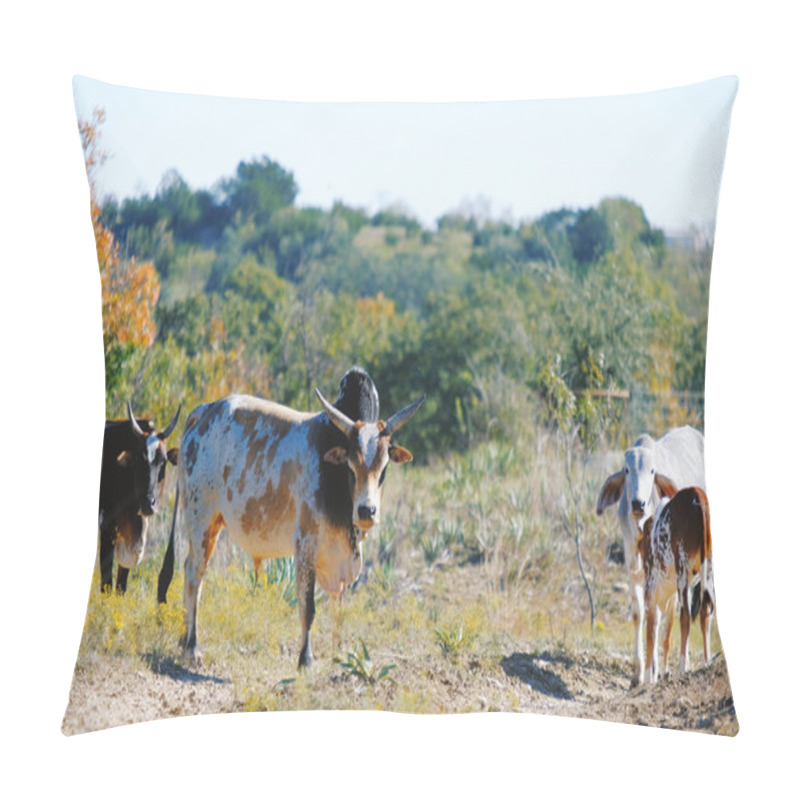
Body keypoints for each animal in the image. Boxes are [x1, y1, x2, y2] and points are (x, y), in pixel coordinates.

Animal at [99, 404, 180, 592]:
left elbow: (121, 586)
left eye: (163, 461)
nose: (148, 503)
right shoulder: (106, 528)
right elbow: (106, 584)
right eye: (139, 459)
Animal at [163, 368, 424, 668]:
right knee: (195, 575)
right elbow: (308, 608)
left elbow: (338, 608)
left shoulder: (342, 559)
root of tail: (204, 410)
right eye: (350, 467)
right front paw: (305, 659)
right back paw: (192, 647)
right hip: (201, 518)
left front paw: (338, 654)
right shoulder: (305, 547)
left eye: (383, 470)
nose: (366, 511)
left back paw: (183, 639)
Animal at [596, 424, 704, 688]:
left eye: (653, 471)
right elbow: (640, 615)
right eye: (626, 470)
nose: (638, 503)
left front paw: (655, 671)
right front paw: (639, 673)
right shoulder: (633, 565)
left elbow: (663, 621)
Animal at [636, 484, 712, 684]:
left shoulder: (650, 591)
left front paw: (649, 677)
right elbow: (665, 635)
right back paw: (707, 662)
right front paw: (660, 674)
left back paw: (683, 667)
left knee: (685, 615)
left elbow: (652, 633)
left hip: (682, 568)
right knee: (705, 612)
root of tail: (697, 494)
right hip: (708, 568)